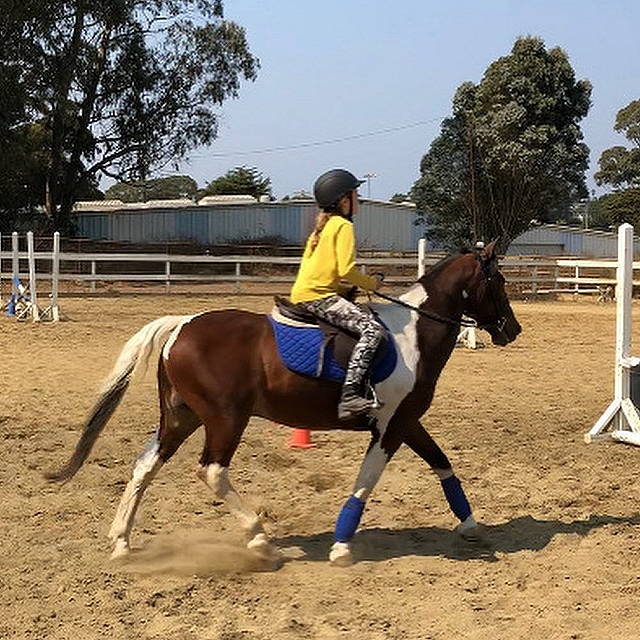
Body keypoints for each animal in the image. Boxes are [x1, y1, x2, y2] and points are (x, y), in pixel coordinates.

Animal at [45, 240, 521, 567]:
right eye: (497, 281)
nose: (511, 330)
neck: (412, 337)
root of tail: (182, 324)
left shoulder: (406, 422)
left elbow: (443, 465)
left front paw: (471, 525)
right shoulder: (392, 426)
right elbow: (365, 482)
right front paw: (342, 546)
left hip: (182, 418)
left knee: (145, 466)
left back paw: (122, 541)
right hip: (225, 419)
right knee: (212, 471)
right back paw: (259, 538)